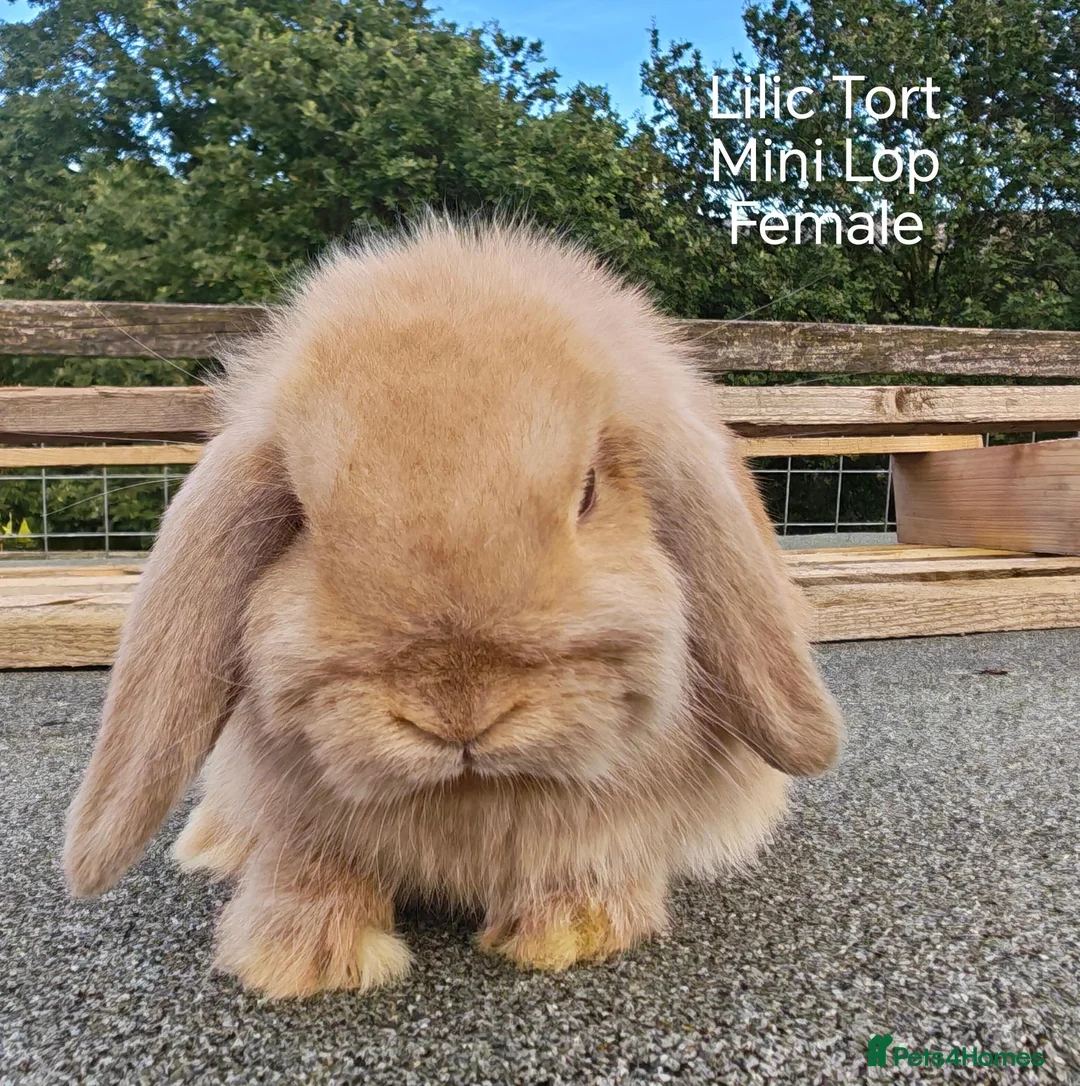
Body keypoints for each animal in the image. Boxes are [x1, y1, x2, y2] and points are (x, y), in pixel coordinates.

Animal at [63, 219, 842, 998]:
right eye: (302, 517)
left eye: (588, 491)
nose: (459, 713)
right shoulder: (296, 816)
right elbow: (309, 864)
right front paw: (299, 956)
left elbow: (587, 848)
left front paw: (569, 930)